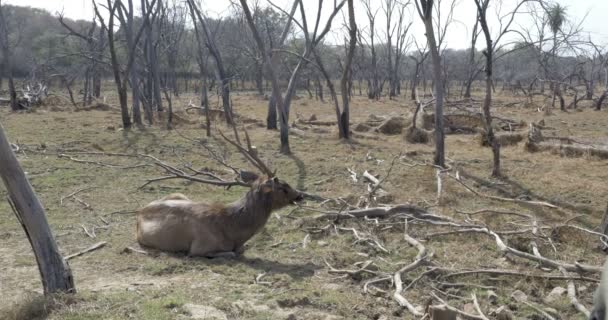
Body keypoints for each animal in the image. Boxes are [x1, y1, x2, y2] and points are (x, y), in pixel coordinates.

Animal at [135, 130, 302, 258]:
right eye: (282, 187)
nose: (300, 195)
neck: (232, 231)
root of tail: (140, 211)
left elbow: (241, 250)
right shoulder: (199, 247)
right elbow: (232, 253)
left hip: (180, 194)